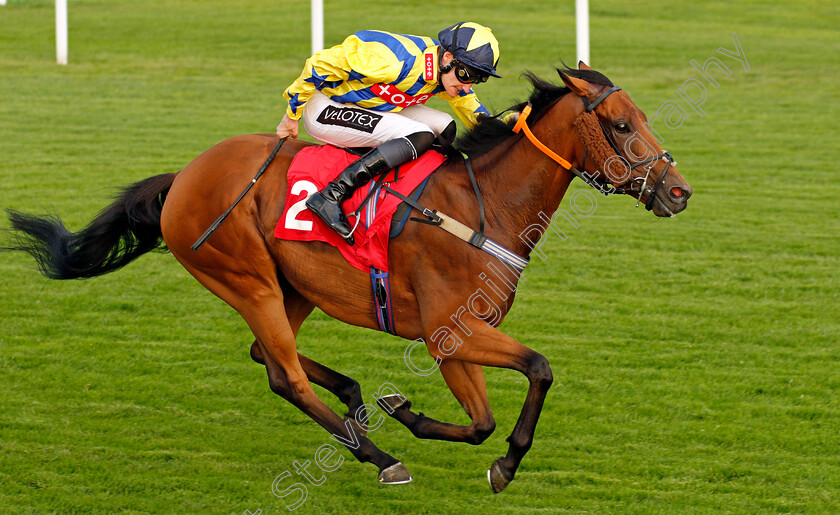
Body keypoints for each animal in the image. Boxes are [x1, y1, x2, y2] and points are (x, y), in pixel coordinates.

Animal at [4, 62, 688, 494]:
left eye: (642, 117)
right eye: (621, 125)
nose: (678, 192)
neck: (483, 205)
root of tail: (185, 176)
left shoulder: (455, 341)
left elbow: (481, 422)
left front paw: (407, 411)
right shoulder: (450, 330)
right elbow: (539, 369)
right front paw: (502, 462)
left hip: (294, 288)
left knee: (269, 357)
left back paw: (358, 401)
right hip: (246, 278)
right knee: (285, 375)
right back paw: (378, 456)